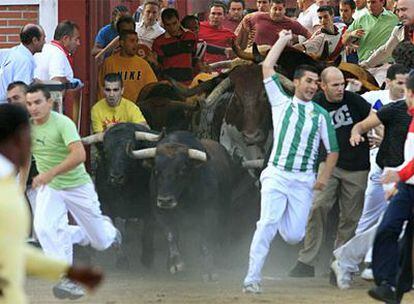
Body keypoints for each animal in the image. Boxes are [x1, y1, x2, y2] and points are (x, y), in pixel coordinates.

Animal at [131, 131, 233, 280]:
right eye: (156, 170)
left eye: (182, 170)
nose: (165, 200)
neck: (184, 195)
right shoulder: (160, 211)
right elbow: (171, 234)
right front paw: (174, 263)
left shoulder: (209, 210)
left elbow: (206, 238)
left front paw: (209, 269)